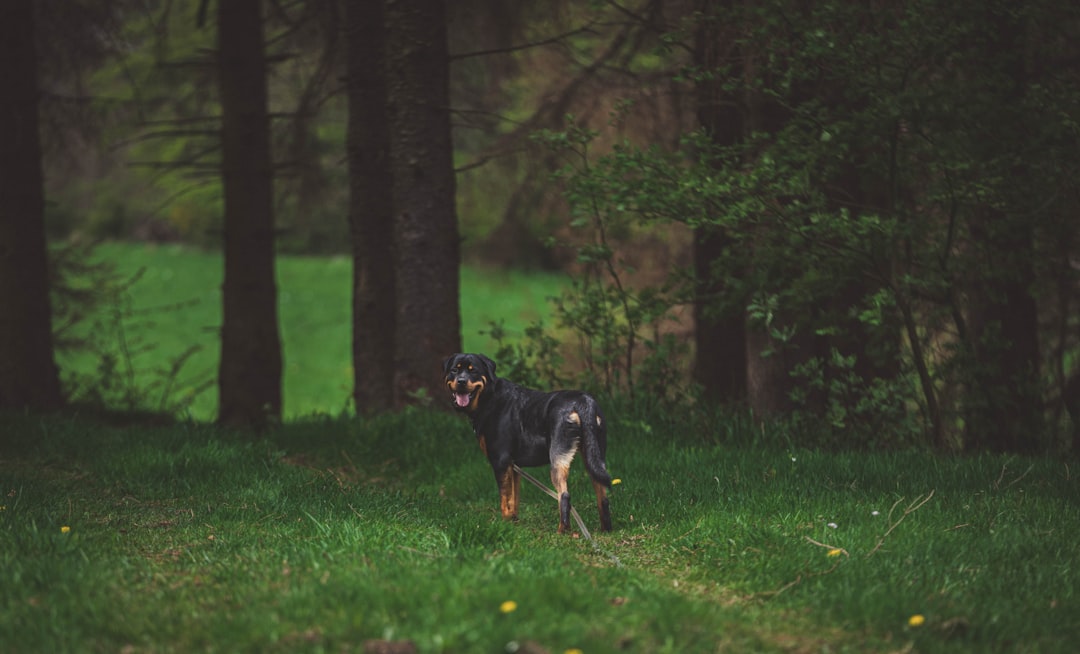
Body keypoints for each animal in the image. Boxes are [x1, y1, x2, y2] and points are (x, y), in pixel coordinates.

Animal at [442, 356, 613, 535]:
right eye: (454, 370)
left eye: (473, 370)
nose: (461, 381)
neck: (489, 398)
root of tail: (583, 401)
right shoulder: (513, 466)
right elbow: (514, 499)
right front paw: (513, 523)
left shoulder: (500, 462)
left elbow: (505, 499)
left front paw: (505, 524)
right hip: (594, 456)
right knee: (603, 497)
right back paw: (605, 530)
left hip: (558, 459)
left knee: (564, 496)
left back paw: (562, 531)